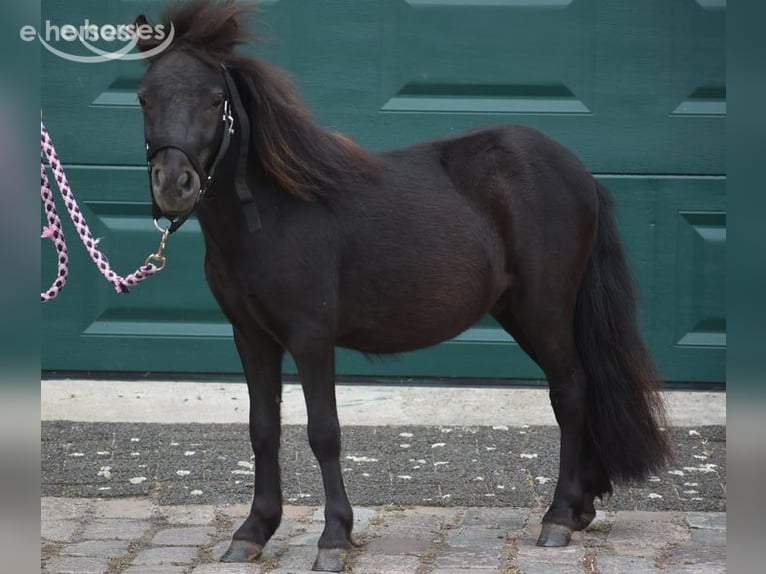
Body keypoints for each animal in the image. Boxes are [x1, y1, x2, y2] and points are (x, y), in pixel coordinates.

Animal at [134, 1, 670, 571]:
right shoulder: (252, 337)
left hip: (544, 309)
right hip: (519, 313)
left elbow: (324, 432)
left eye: (215, 100)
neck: (274, 211)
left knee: (570, 392)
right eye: (143, 96)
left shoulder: (310, 336)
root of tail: (579, 172)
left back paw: (559, 517)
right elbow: (263, 429)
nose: (173, 185)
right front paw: (254, 530)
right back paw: (583, 506)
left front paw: (334, 537)